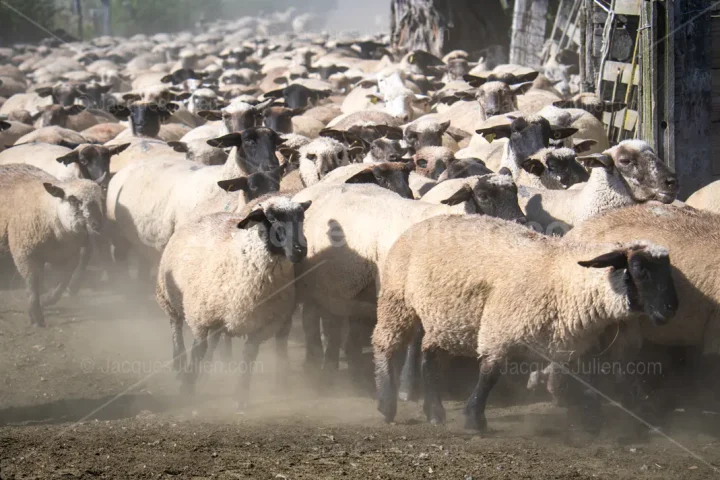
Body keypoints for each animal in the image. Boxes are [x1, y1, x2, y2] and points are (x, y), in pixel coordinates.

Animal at [0, 164, 104, 326]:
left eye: (100, 198)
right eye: (72, 200)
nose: (97, 225)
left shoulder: (70, 255)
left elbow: (63, 281)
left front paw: (48, 300)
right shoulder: (24, 253)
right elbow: (32, 283)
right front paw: (36, 317)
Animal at [156, 196, 312, 405]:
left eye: (301, 217)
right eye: (271, 218)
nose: (300, 250)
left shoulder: (263, 325)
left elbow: (249, 357)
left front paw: (241, 395)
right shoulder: (200, 317)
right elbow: (198, 350)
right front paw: (187, 387)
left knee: (213, 341)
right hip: (168, 296)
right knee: (176, 326)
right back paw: (179, 362)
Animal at [372, 214, 678, 429]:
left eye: (668, 270)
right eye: (639, 269)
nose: (671, 309)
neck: (563, 280)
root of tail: (421, 223)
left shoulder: (570, 347)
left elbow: (577, 382)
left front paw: (588, 419)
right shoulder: (500, 327)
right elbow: (489, 375)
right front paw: (474, 420)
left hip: (446, 318)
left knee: (430, 356)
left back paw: (434, 411)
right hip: (396, 299)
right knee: (386, 345)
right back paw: (387, 404)